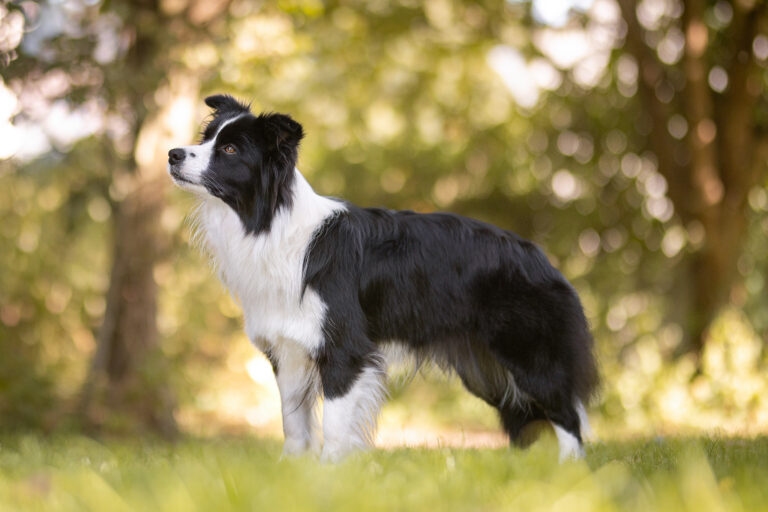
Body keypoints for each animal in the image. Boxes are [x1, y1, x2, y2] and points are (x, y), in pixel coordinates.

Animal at [170, 95, 600, 460]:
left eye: (230, 150)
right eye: (206, 138)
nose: (172, 154)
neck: (270, 223)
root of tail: (541, 258)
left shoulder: (345, 348)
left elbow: (336, 424)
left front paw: (329, 475)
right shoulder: (288, 348)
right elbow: (293, 421)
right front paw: (292, 471)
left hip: (529, 353)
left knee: (567, 416)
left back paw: (568, 473)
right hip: (487, 371)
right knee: (527, 420)